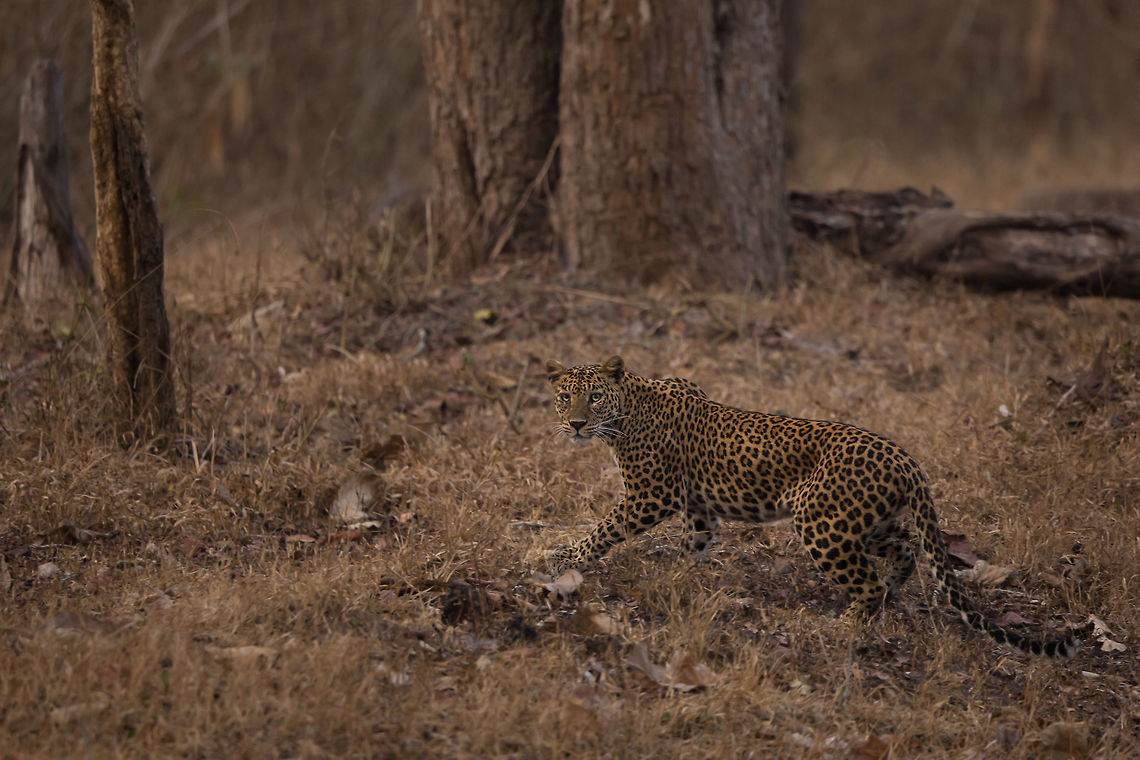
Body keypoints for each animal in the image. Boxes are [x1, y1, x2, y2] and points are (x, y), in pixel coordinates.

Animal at [544, 355, 1079, 658]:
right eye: (565, 397)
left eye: (593, 398)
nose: (575, 425)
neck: (627, 409)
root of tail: (907, 460)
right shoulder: (697, 505)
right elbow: (694, 542)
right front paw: (677, 578)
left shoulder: (650, 494)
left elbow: (605, 528)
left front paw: (566, 557)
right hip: (862, 521)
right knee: (905, 548)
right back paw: (890, 595)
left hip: (822, 523)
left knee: (868, 579)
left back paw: (848, 623)